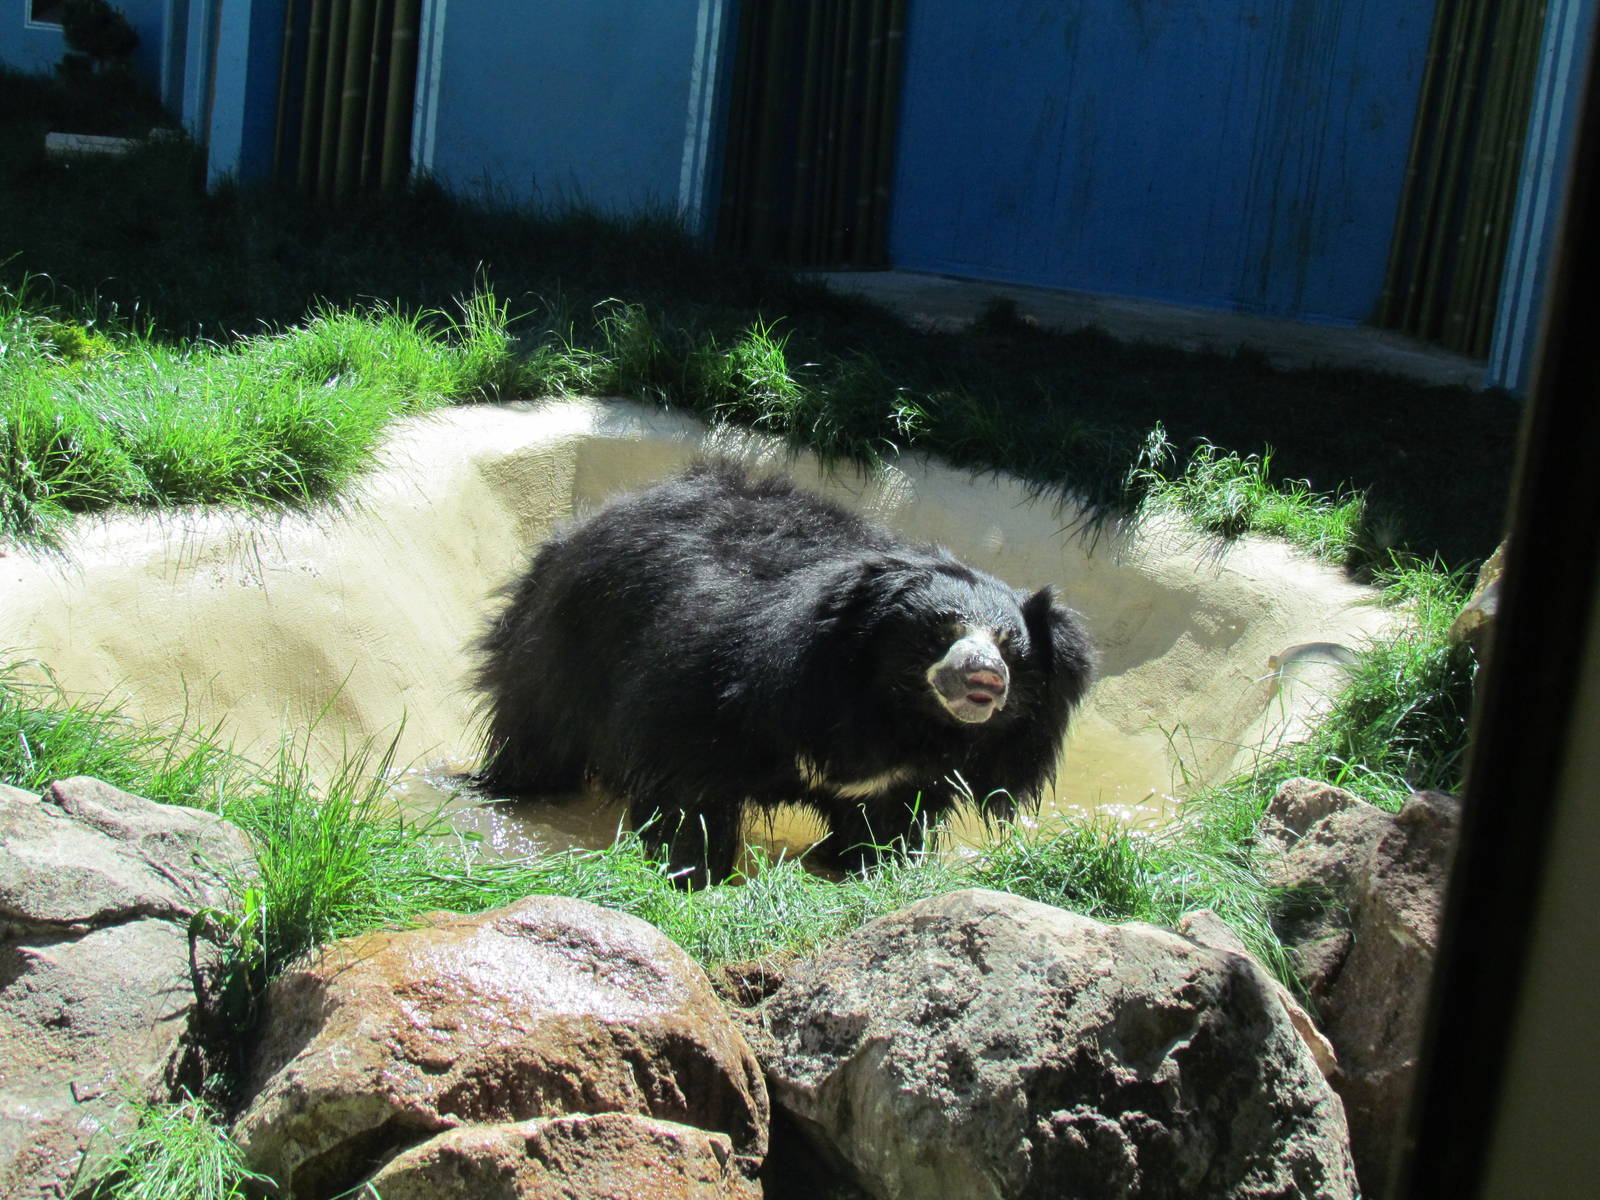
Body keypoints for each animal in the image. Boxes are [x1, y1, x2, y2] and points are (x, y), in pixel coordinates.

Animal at [475, 461, 1095, 886]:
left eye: (1012, 648)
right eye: (941, 631)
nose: (985, 678)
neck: (892, 714)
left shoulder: (903, 779)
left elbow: (885, 826)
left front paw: (863, 870)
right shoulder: (714, 696)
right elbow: (690, 792)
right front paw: (695, 873)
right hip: (565, 644)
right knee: (540, 734)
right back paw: (516, 793)